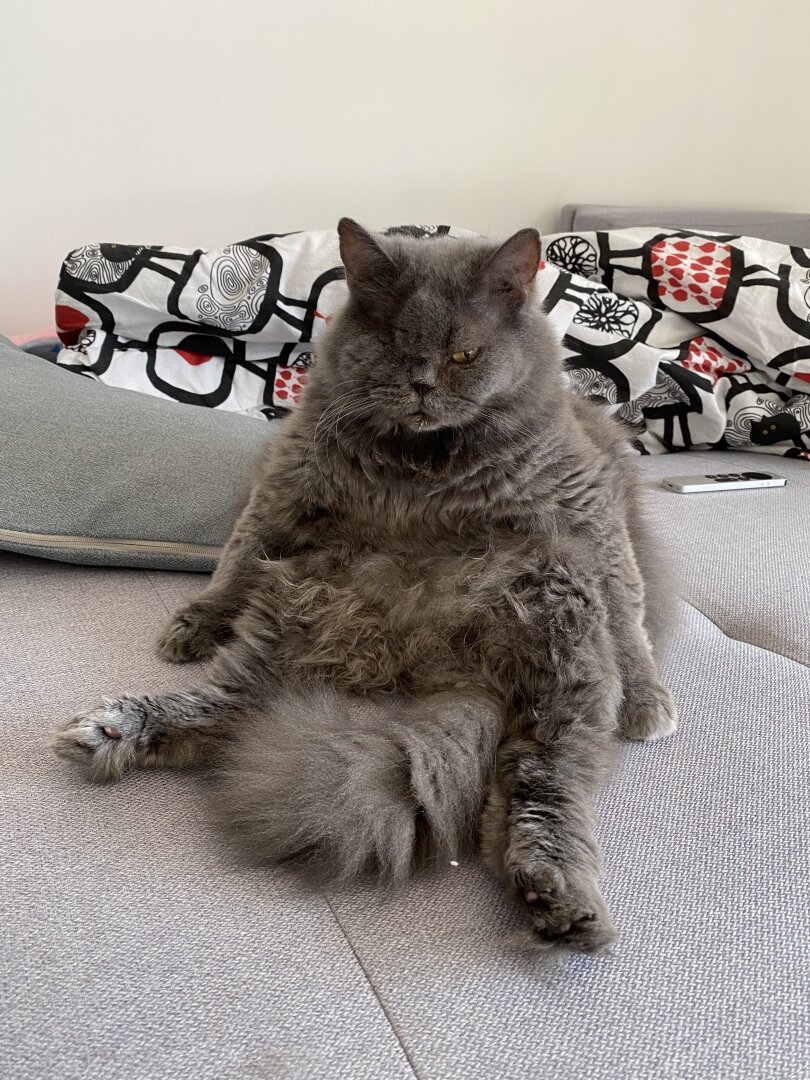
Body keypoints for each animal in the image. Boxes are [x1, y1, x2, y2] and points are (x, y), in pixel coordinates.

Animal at [52, 217, 678, 954]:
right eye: (396, 348)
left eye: (465, 353)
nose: (423, 384)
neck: (424, 470)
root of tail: (437, 671)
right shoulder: (292, 477)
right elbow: (239, 549)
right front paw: (199, 617)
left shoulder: (584, 508)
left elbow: (627, 602)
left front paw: (647, 700)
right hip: (290, 617)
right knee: (229, 712)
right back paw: (113, 729)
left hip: (560, 626)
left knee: (539, 783)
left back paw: (556, 895)